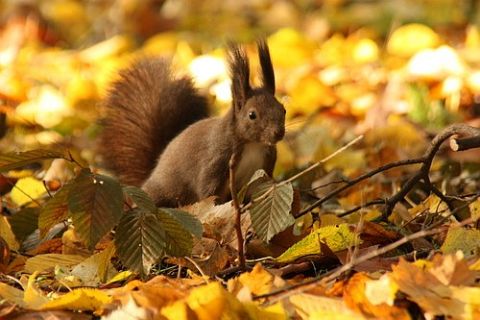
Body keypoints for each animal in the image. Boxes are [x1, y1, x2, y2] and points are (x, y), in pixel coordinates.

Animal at [99, 40, 284, 206]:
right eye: (252, 115)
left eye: (283, 109)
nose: (278, 133)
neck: (253, 145)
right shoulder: (215, 161)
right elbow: (208, 193)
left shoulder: (263, 169)